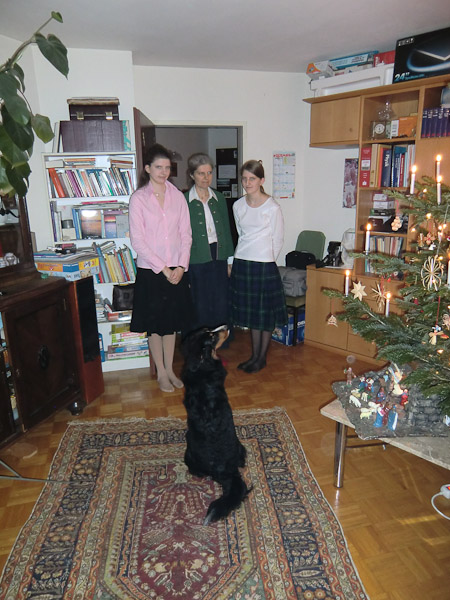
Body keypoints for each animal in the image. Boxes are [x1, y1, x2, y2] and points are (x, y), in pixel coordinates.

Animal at [181, 325, 251, 524]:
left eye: (209, 331)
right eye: (211, 336)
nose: (227, 326)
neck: (201, 366)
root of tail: (224, 470)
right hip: (237, 444)